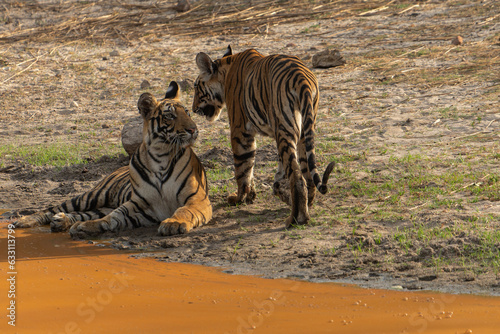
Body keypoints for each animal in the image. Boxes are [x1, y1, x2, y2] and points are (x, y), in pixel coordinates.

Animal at [13, 80, 213, 237]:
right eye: (170, 116)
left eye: (188, 113)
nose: (194, 129)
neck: (161, 154)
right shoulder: (139, 205)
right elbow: (113, 217)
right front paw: (85, 227)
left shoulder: (197, 199)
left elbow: (184, 210)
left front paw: (173, 223)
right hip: (92, 196)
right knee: (54, 208)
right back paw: (26, 220)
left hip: (101, 203)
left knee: (87, 212)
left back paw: (61, 221)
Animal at [193, 45, 334, 227]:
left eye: (196, 86)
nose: (193, 108)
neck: (226, 69)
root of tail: (302, 79)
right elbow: (266, 167)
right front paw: (271, 189)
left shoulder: (240, 131)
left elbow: (243, 169)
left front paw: (239, 198)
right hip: (304, 132)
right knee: (308, 175)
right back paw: (306, 205)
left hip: (285, 130)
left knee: (297, 177)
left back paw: (296, 218)